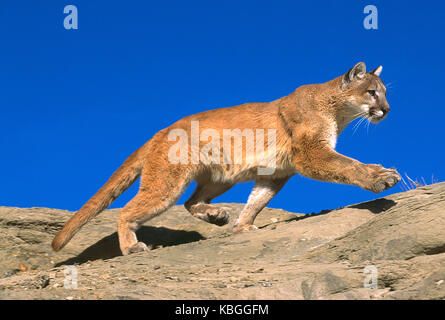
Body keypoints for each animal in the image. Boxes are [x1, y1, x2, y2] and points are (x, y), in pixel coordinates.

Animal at [51, 63, 398, 255]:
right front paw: (380, 177)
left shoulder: (275, 172)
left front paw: (243, 226)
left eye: (385, 92)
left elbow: (258, 200)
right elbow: (348, 165)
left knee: (191, 202)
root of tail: (159, 131)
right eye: (372, 92)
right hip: (167, 182)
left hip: (222, 177)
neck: (338, 111)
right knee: (128, 211)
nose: (387, 110)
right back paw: (131, 247)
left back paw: (216, 216)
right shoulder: (311, 154)